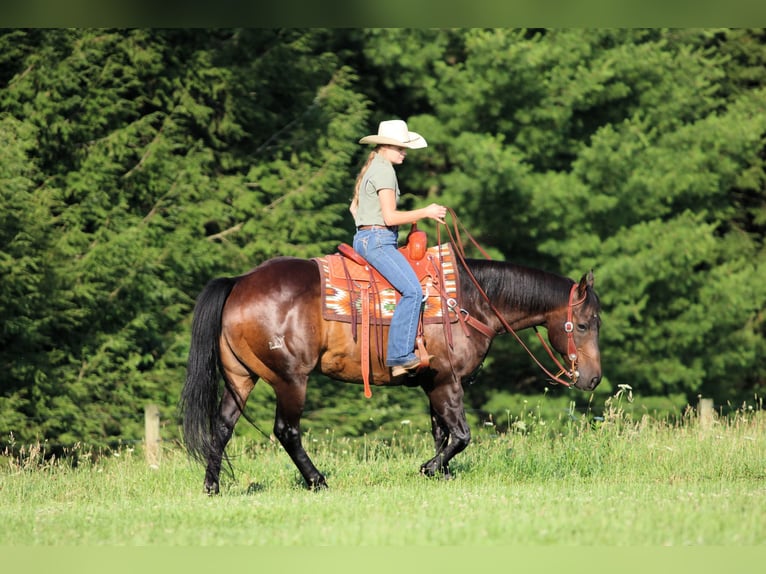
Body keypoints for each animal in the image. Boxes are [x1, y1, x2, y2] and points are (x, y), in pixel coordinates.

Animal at [179, 243, 602, 494]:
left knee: (222, 427)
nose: (594, 378)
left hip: (240, 378)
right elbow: (461, 435)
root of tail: (240, 282)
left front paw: (442, 474)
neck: (469, 301)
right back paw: (317, 480)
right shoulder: (447, 382)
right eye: (583, 324)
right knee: (287, 430)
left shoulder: (433, 384)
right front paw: (430, 469)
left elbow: (441, 433)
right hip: (290, 379)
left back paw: (212, 487)